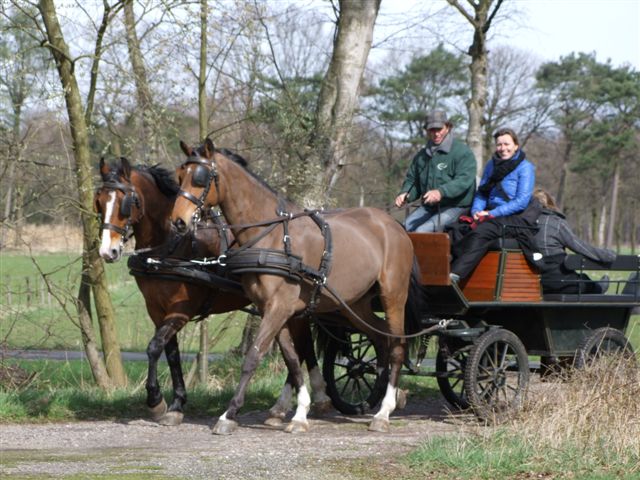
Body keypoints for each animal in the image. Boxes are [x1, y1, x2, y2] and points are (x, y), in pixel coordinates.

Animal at [94, 157, 331, 426]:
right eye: (99, 201)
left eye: (125, 202)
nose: (107, 251)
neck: (172, 245)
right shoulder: (157, 310)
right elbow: (171, 353)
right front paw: (176, 404)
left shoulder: (181, 310)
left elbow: (154, 347)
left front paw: (156, 401)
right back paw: (282, 409)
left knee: (304, 347)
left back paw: (315, 399)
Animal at [170, 139, 422, 434]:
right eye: (179, 176)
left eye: (200, 178)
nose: (178, 222)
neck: (273, 236)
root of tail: (394, 225)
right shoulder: (272, 308)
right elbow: (292, 358)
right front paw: (300, 412)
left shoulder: (279, 308)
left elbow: (254, 356)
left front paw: (228, 414)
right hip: (355, 305)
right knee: (381, 337)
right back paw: (384, 395)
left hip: (393, 296)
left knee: (397, 346)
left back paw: (384, 411)